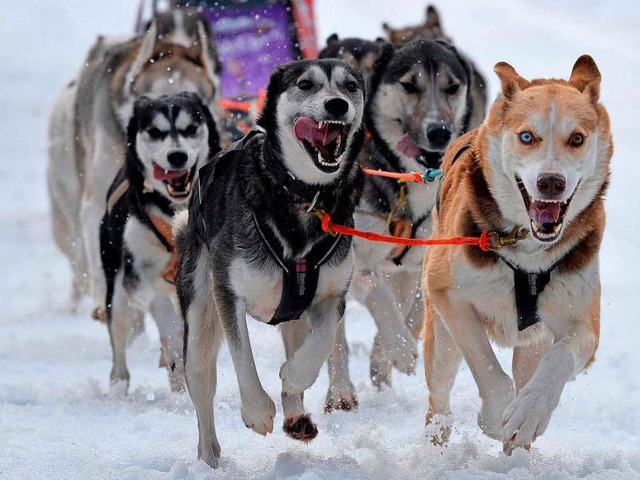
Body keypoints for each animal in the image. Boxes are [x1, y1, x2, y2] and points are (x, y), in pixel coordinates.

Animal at [422, 56, 612, 450]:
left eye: (577, 139)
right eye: (527, 136)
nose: (551, 182)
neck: (529, 251)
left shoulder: (584, 325)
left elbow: (560, 356)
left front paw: (528, 413)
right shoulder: (447, 292)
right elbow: (486, 365)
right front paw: (495, 416)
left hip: (531, 346)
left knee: (529, 373)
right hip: (442, 341)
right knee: (439, 398)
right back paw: (438, 440)